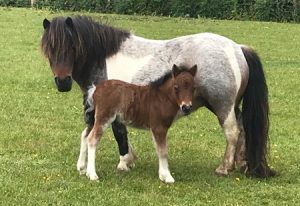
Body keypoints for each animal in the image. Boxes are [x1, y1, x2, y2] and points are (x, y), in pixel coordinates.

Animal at [41, 15, 276, 178]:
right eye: (49, 49)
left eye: (72, 46)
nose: (62, 82)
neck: (104, 57)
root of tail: (237, 48)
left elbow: (119, 133)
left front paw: (124, 162)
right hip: (231, 106)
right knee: (243, 129)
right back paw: (242, 164)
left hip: (222, 105)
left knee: (232, 131)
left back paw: (224, 167)